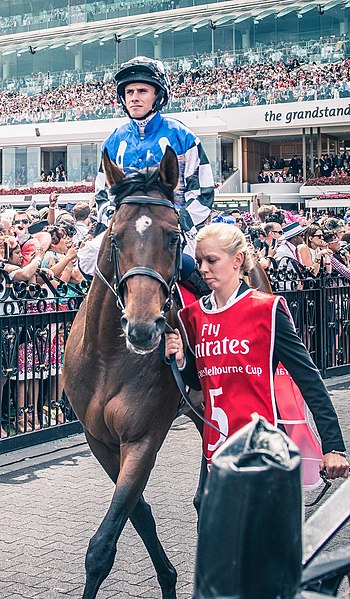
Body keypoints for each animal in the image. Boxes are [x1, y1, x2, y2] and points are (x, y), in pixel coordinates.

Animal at [63, 146, 270, 599]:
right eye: (115, 237)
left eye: (174, 236)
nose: (144, 328)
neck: (109, 360)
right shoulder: (99, 440)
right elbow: (138, 513)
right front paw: (170, 578)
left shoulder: (143, 437)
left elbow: (103, 545)